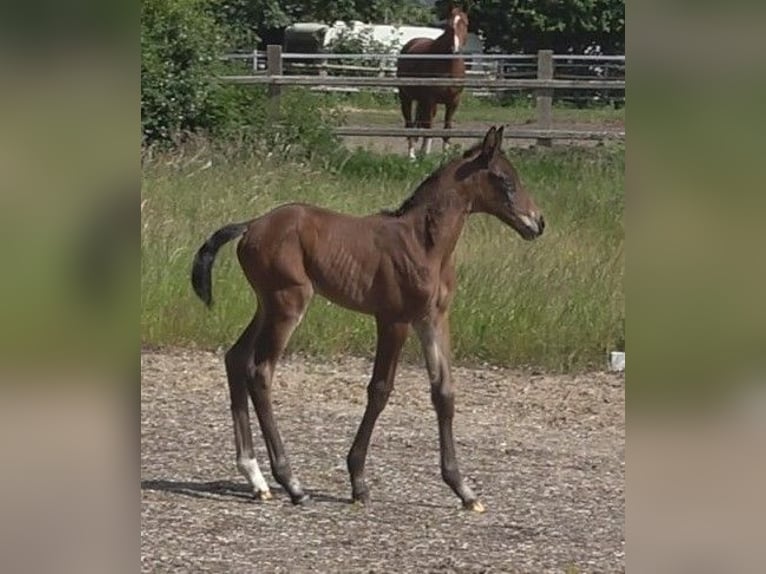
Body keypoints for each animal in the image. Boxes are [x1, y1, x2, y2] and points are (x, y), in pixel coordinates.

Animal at [195, 126, 548, 512]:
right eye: (504, 179)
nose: (538, 222)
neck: (424, 243)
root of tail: (250, 226)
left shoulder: (433, 319)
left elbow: (444, 393)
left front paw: (463, 489)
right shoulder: (393, 319)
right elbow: (380, 390)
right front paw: (359, 482)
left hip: (266, 304)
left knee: (236, 358)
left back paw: (255, 477)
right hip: (287, 303)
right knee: (260, 372)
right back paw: (291, 482)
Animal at [400, 6, 472, 160]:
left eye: (465, 23)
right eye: (448, 25)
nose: (455, 49)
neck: (448, 66)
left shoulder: (453, 102)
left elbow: (446, 128)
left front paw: (445, 156)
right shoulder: (430, 100)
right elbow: (430, 127)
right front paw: (425, 155)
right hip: (406, 98)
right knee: (410, 124)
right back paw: (412, 156)